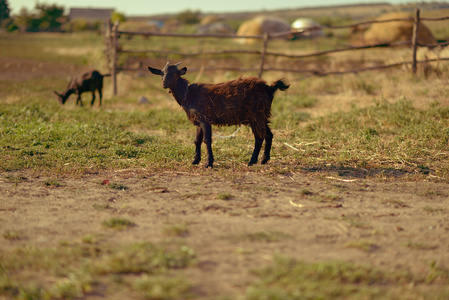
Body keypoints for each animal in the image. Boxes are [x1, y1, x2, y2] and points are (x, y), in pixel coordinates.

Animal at [146, 62, 288, 168]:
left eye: (175, 73)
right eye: (162, 73)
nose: (164, 84)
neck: (188, 94)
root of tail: (269, 88)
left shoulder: (205, 120)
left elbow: (207, 140)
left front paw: (209, 163)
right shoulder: (198, 122)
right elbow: (197, 140)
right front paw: (195, 161)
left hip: (256, 116)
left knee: (259, 137)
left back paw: (251, 161)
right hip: (262, 116)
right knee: (269, 135)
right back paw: (264, 160)